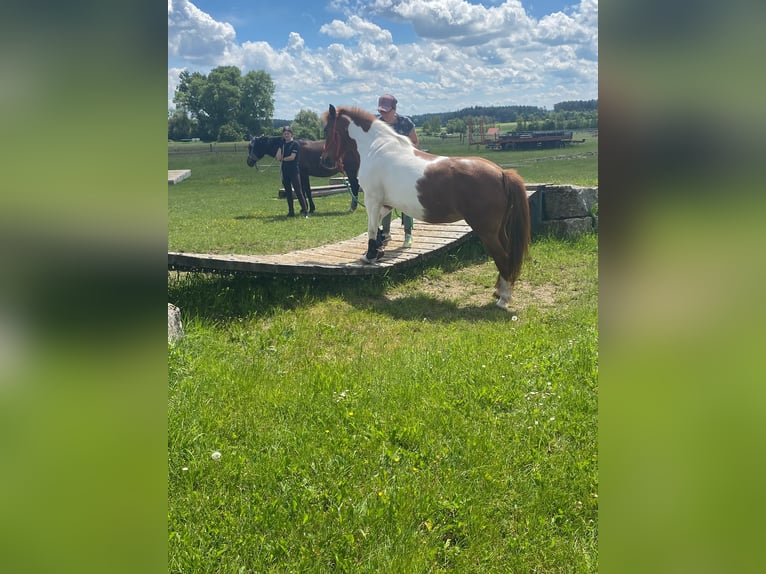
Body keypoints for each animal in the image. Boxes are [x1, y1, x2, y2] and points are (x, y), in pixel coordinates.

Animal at [320, 103, 532, 310]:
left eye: (327, 130)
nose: (325, 160)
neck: (377, 149)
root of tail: (502, 173)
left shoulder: (373, 200)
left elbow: (371, 228)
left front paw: (369, 255)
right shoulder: (386, 204)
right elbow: (379, 226)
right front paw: (377, 251)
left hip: (487, 232)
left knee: (503, 256)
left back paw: (503, 299)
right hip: (499, 230)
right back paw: (499, 291)